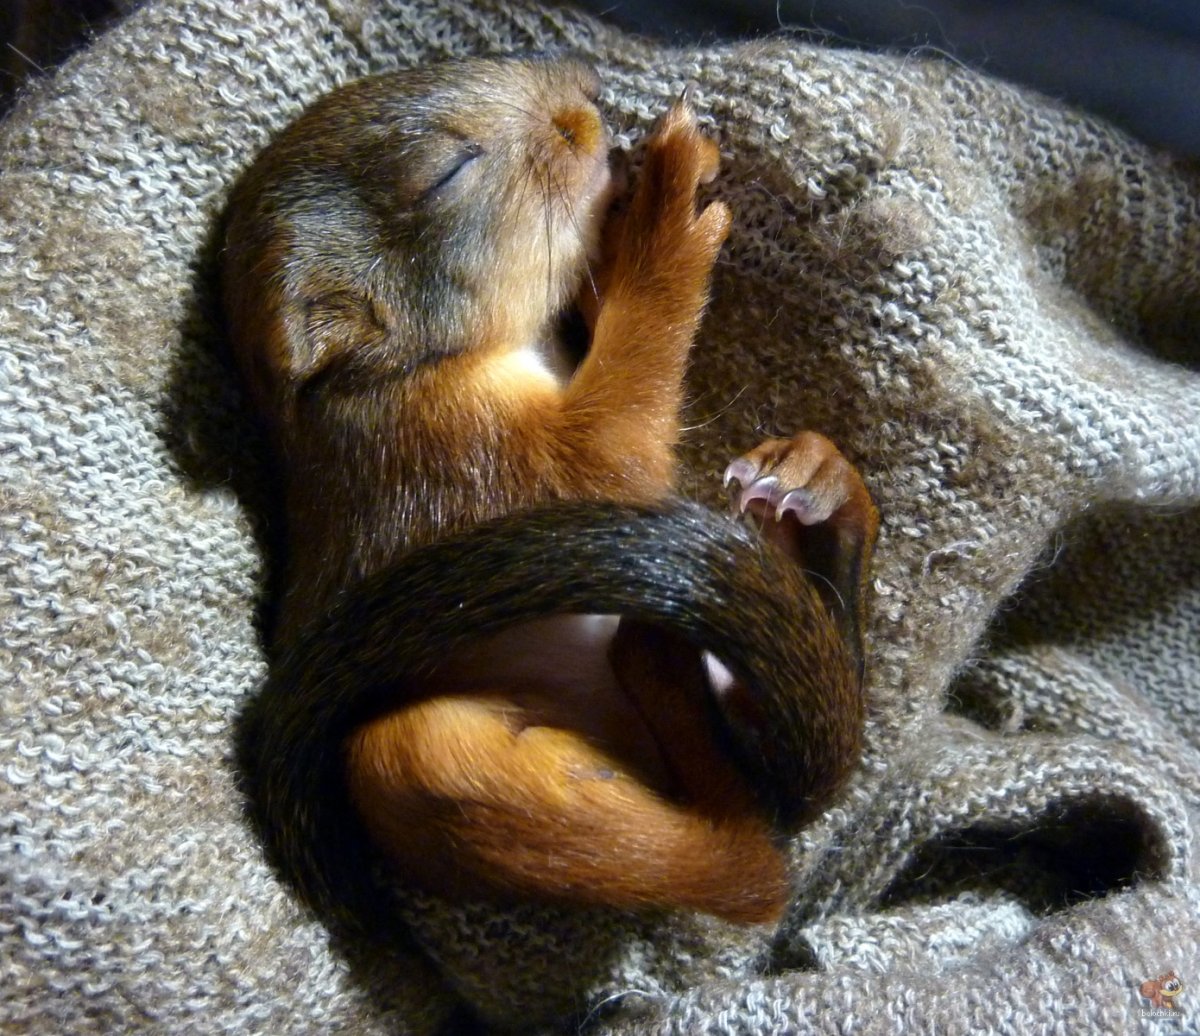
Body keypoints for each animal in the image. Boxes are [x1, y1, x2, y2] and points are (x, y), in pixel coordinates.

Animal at [221, 56, 879, 929]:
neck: (394, 378)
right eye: (445, 173)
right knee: (740, 869)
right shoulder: (452, 453)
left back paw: (816, 491)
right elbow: (610, 450)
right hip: (421, 764)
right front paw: (660, 221)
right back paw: (666, 673)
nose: (587, 96)